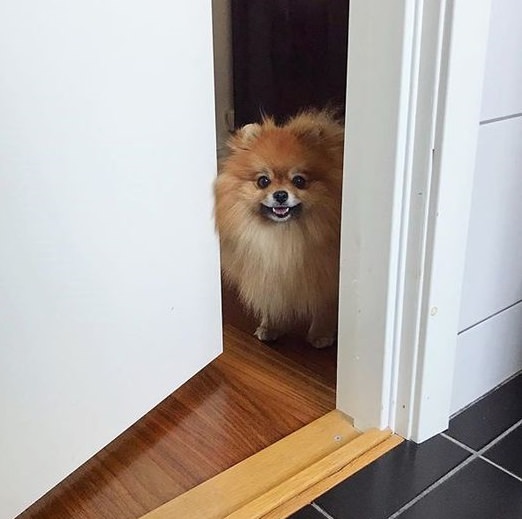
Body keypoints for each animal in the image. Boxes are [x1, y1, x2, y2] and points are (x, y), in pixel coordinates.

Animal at [213, 109, 344, 350]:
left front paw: (321, 334)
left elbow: (324, 305)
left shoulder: (326, 273)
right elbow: (272, 299)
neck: (281, 237)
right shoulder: (269, 271)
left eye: (299, 181)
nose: (281, 194)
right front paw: (270, 326)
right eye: (263, 181)